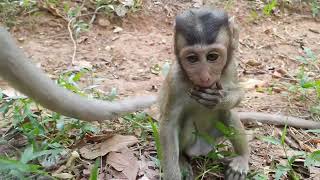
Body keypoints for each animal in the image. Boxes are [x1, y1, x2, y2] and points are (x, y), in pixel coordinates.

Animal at [159, 7, 246, 179]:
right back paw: (181, 160)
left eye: (212, 56)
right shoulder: (175, 80)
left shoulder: (231, 67)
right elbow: (169, 125)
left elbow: (239, 93)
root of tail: (202, 150)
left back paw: (242, 158)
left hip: (213, 139)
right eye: (192, 59)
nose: (204, 76)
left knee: (228, 113)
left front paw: (221, 99)